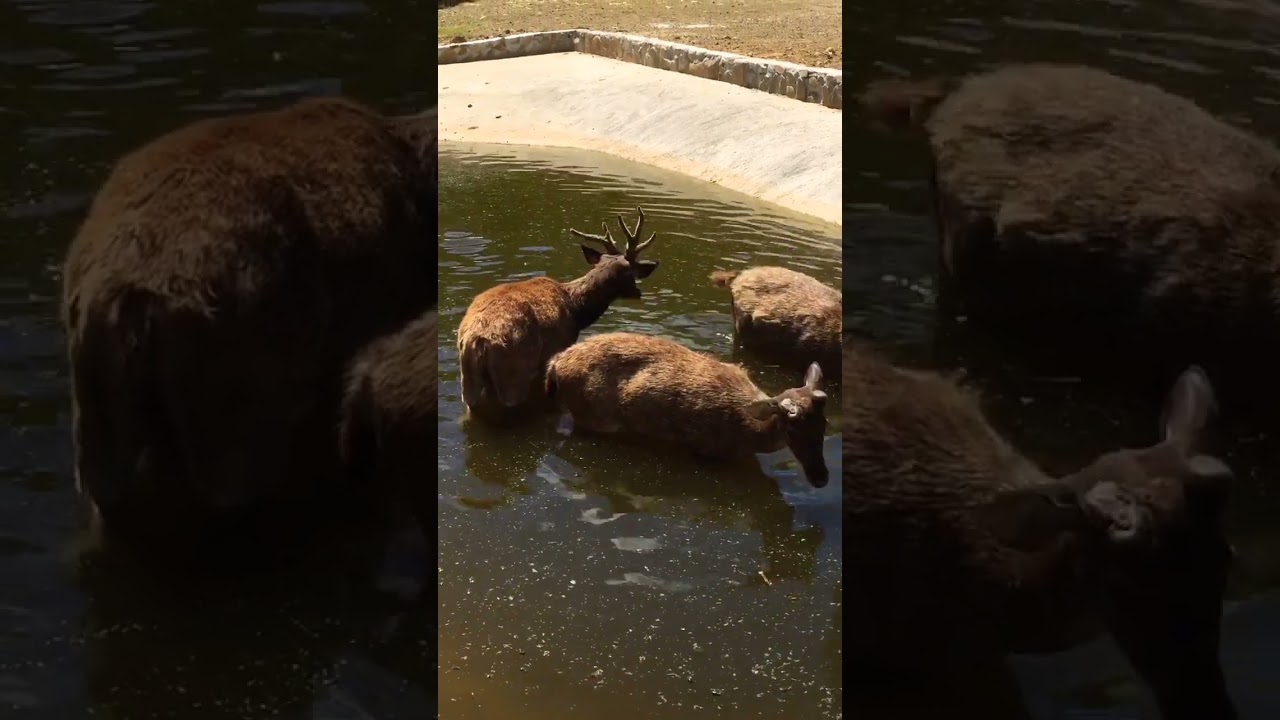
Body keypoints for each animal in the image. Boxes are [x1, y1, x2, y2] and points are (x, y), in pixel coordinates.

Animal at [455, 207, 659, 422]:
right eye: (631, 273)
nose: (638, 292)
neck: (577, 312)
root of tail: (478, 340)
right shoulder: (558, 347)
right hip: (513, 374)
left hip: (469, 381)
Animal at [544, 332, 830, 487]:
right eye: (791, 427)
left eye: (824, 425)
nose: (821, 478)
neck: (748, 434)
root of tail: (556, 362)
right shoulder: (705, 451)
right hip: (589, 416)